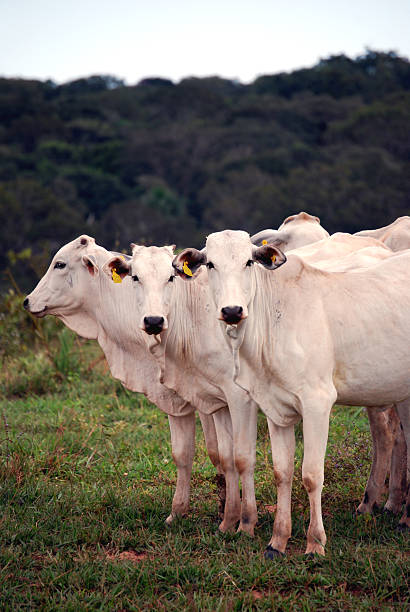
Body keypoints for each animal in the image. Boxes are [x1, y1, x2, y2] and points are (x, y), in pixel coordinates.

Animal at [23, 237, 227, 524]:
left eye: (60, 264)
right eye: (135, 277)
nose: (27, 301)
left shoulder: (214, 400)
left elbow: (220, 452)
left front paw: (228, 511)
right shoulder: (179, 399)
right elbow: (184, 454)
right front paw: (178, 512)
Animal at [174, 232, 410, 556]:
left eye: (249, 262)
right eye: (210, 264)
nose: (232, 311)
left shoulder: (317, 403)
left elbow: (311, 475)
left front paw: (315, 542)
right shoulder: (276, 409)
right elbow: (282, 472)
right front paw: (278, 540)